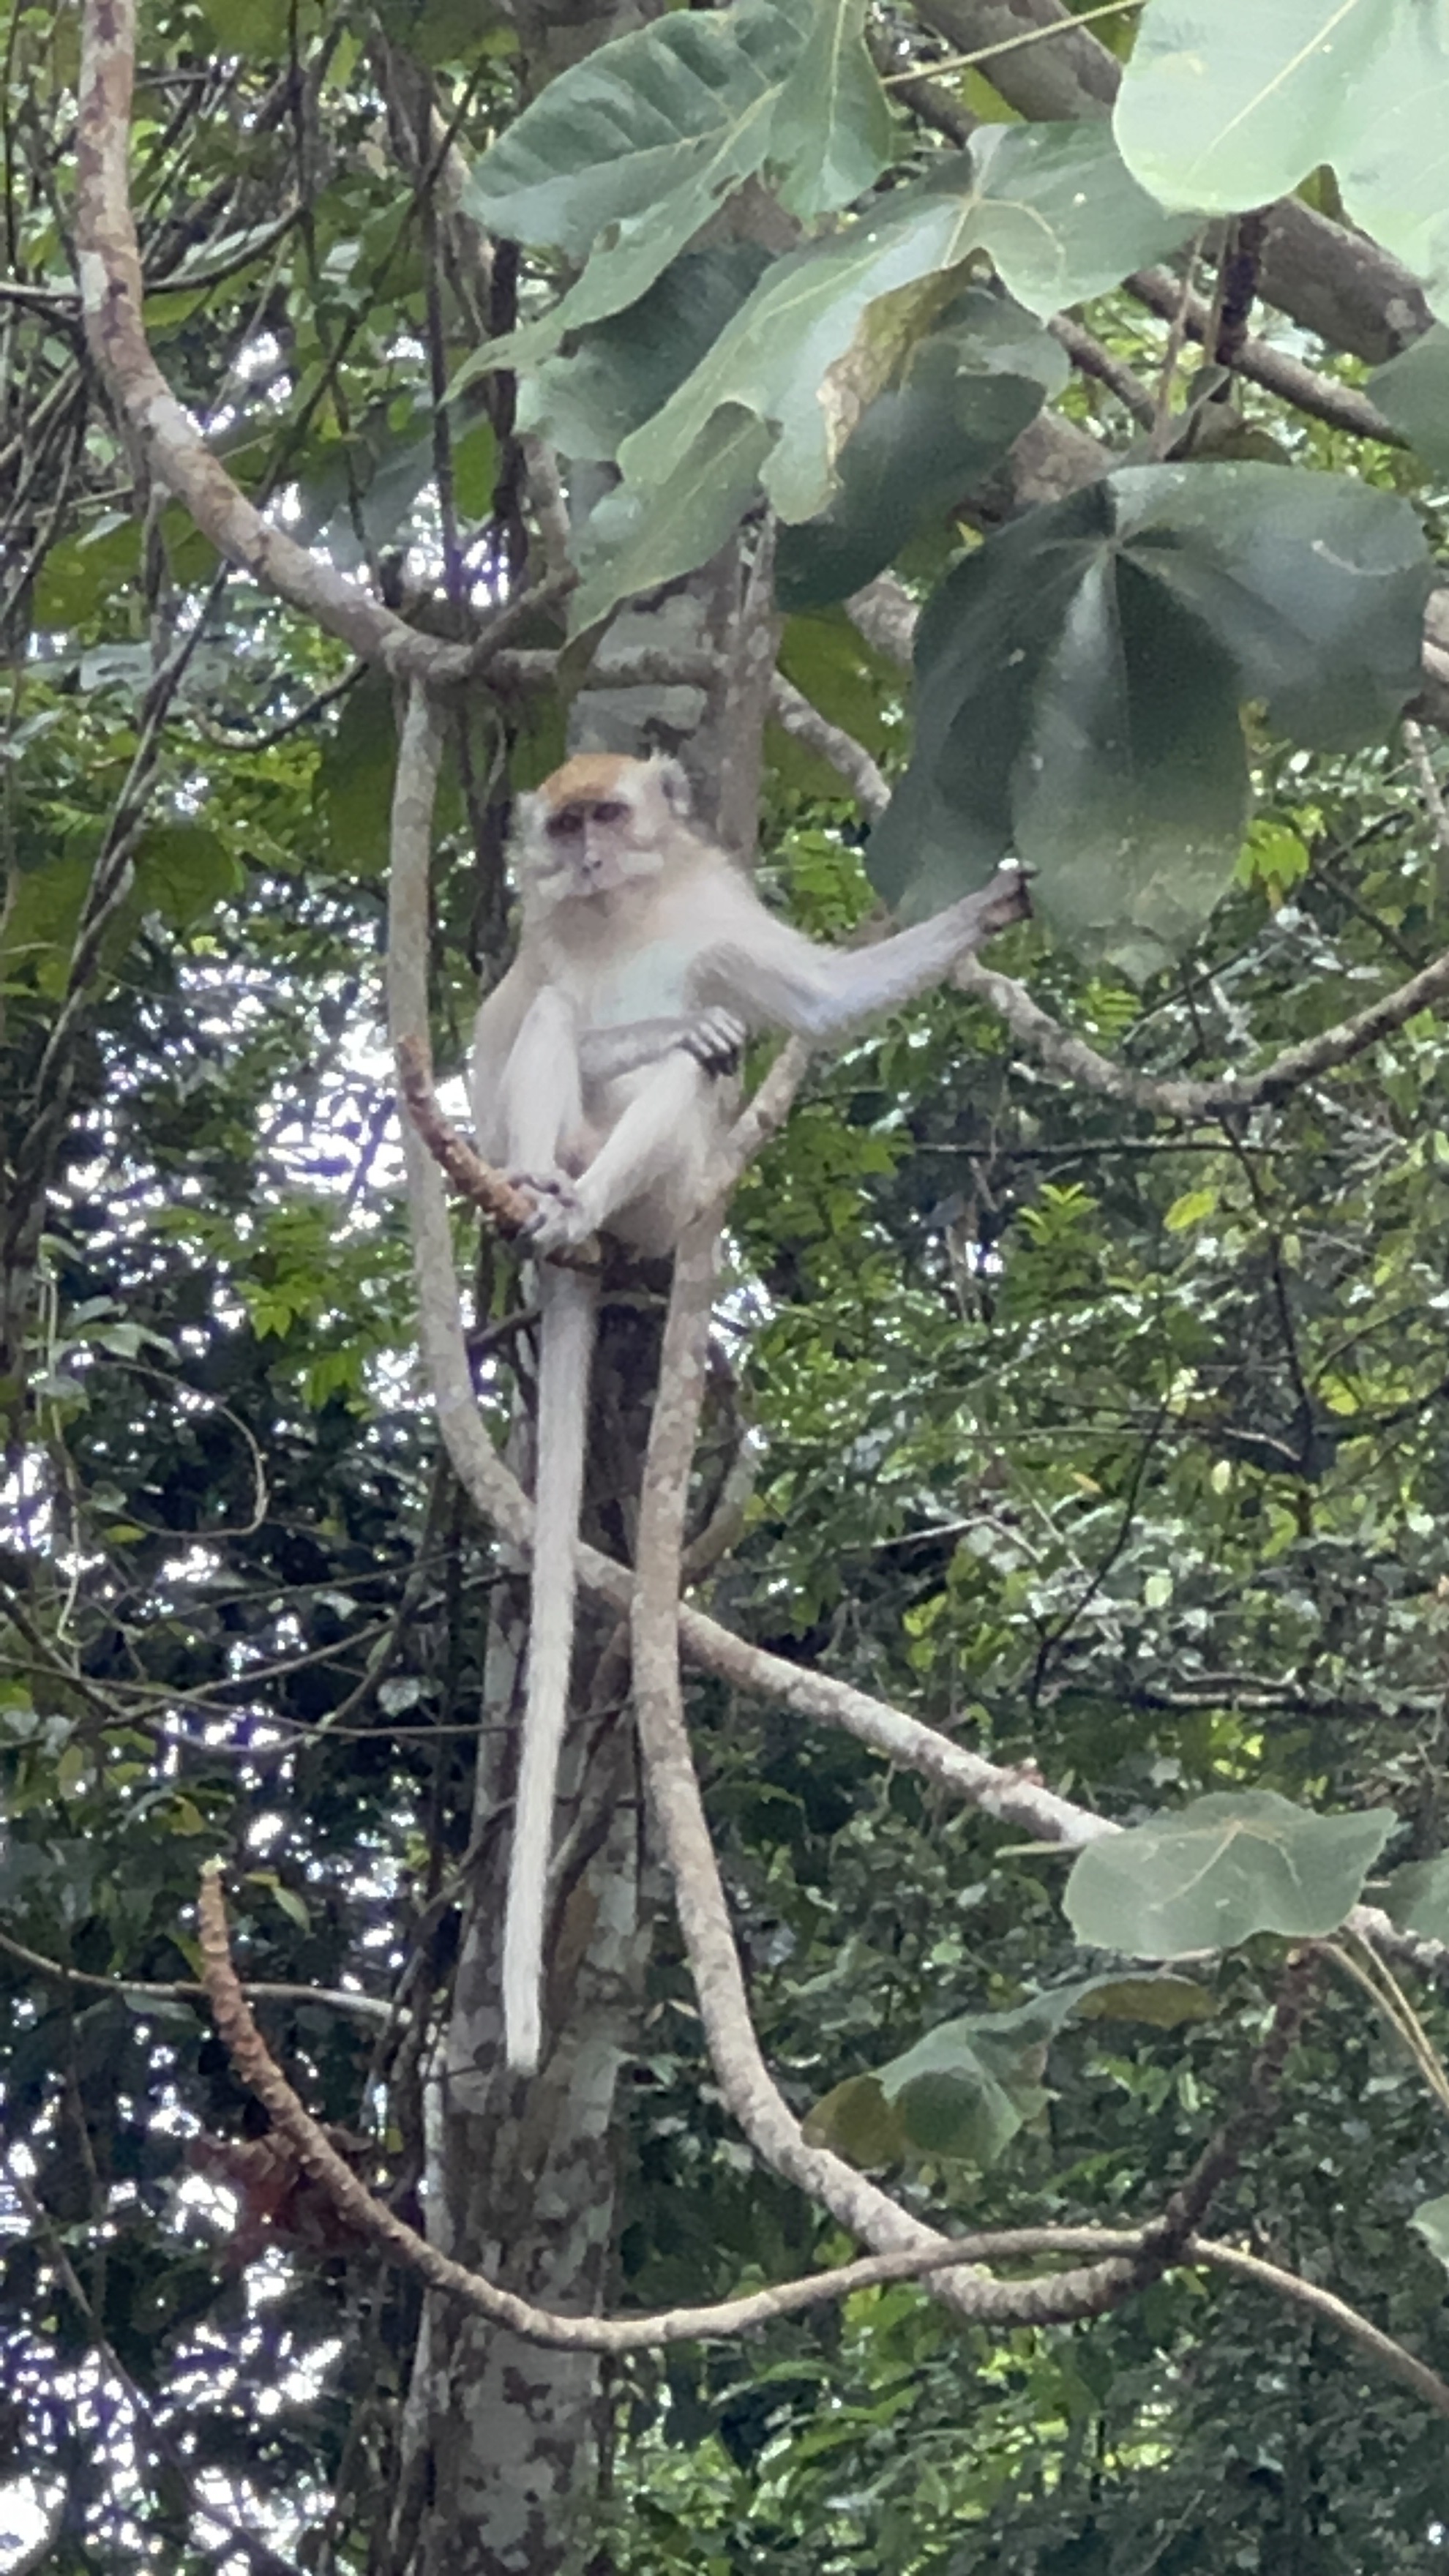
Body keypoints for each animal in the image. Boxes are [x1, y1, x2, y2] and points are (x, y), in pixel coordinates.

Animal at [469, 752, 1021, 2071]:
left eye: (609, 814)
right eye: (565, 824)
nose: (588, 854)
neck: (626, 912)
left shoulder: (714, 907)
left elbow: (814, 1002)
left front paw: (991, 907)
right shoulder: (538, 936)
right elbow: (495, 1048)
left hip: (664, 1206)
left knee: (688, 1084)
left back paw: (582, 1208)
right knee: (559, 1033)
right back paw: (539, 1196)